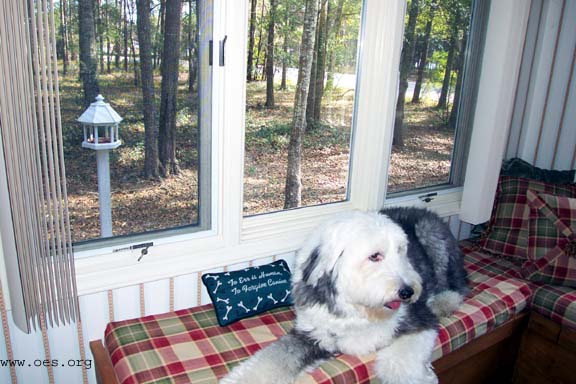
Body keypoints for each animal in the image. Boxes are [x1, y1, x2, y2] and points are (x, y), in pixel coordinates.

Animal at [220, 208, 468, 382]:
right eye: (375, 256)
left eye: (401, 252)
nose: (408, 291)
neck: (359, 310)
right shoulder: (311, 335)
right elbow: (271, 361)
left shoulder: (418, 320)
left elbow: (399, 365)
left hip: (433, 238)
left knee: (458, 284)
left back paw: (443, 302)